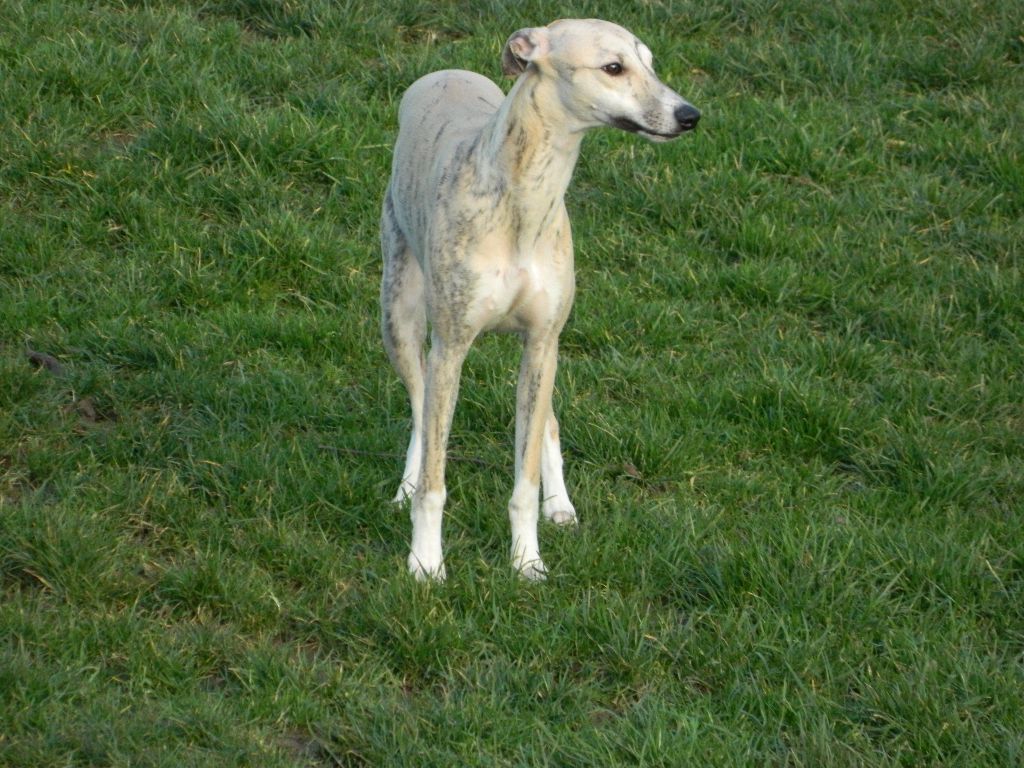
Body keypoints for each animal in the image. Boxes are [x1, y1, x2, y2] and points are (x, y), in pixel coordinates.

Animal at [380, 18, 700, 581]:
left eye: (649, 63)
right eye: (612, 67)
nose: (689, 116)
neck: (523, 199)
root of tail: (444, 71)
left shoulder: (542, 342)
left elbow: (524, 477)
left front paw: (528, 559)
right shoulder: (450, 349)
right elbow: (436, 477)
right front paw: (425, 563)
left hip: (545, 356)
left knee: (545, 419)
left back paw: (560, 504)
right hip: (398, 316)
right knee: (420, 407)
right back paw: (406, 484)